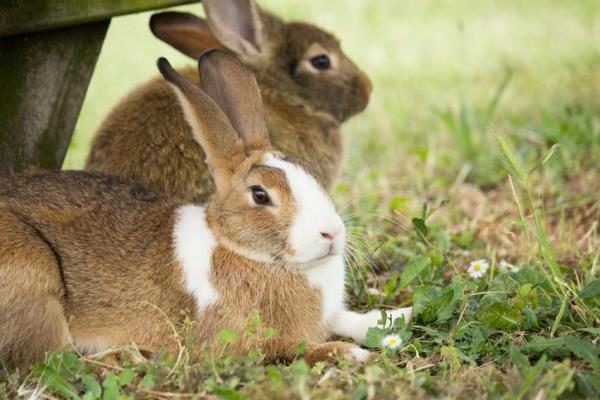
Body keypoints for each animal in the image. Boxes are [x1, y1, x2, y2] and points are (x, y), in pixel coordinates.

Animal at [0, 51, 408, 370]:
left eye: (310, 173)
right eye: (260, 195)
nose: (332, 233)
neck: (245, 252)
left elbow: (346, 318)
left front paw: (394, 318)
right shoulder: (243, 339)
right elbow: (294, 348)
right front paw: (353, 355)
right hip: (33, 274)